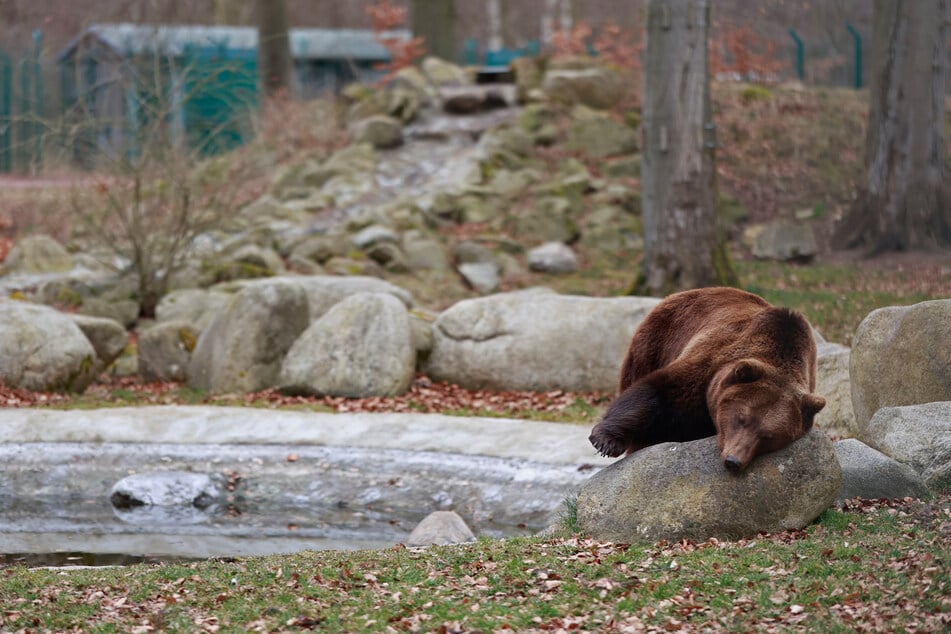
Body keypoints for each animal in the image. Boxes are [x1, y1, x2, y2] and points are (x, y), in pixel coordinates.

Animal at [588, 286, 824, 470]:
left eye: (769, 436)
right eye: (742, 419)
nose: (733, 460)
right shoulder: (709, 366)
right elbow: (657, 392)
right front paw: (606, 441)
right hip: (655, 342)